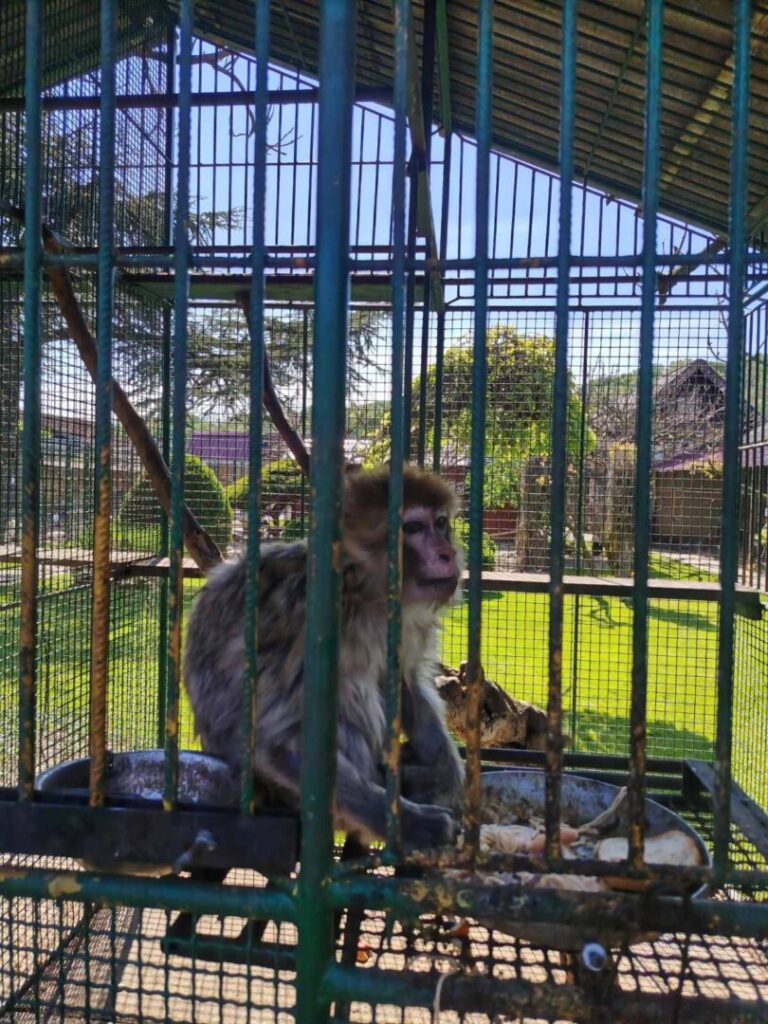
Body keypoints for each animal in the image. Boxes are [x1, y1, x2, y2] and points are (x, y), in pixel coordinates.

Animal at [182, 464, 465, 850]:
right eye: (413, 528)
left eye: (440, 523)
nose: (447, 553)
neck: (363, 587)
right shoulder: (311, 620)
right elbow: (272, 738)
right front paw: (408, 823)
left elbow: (400, 682)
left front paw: (446, 772)